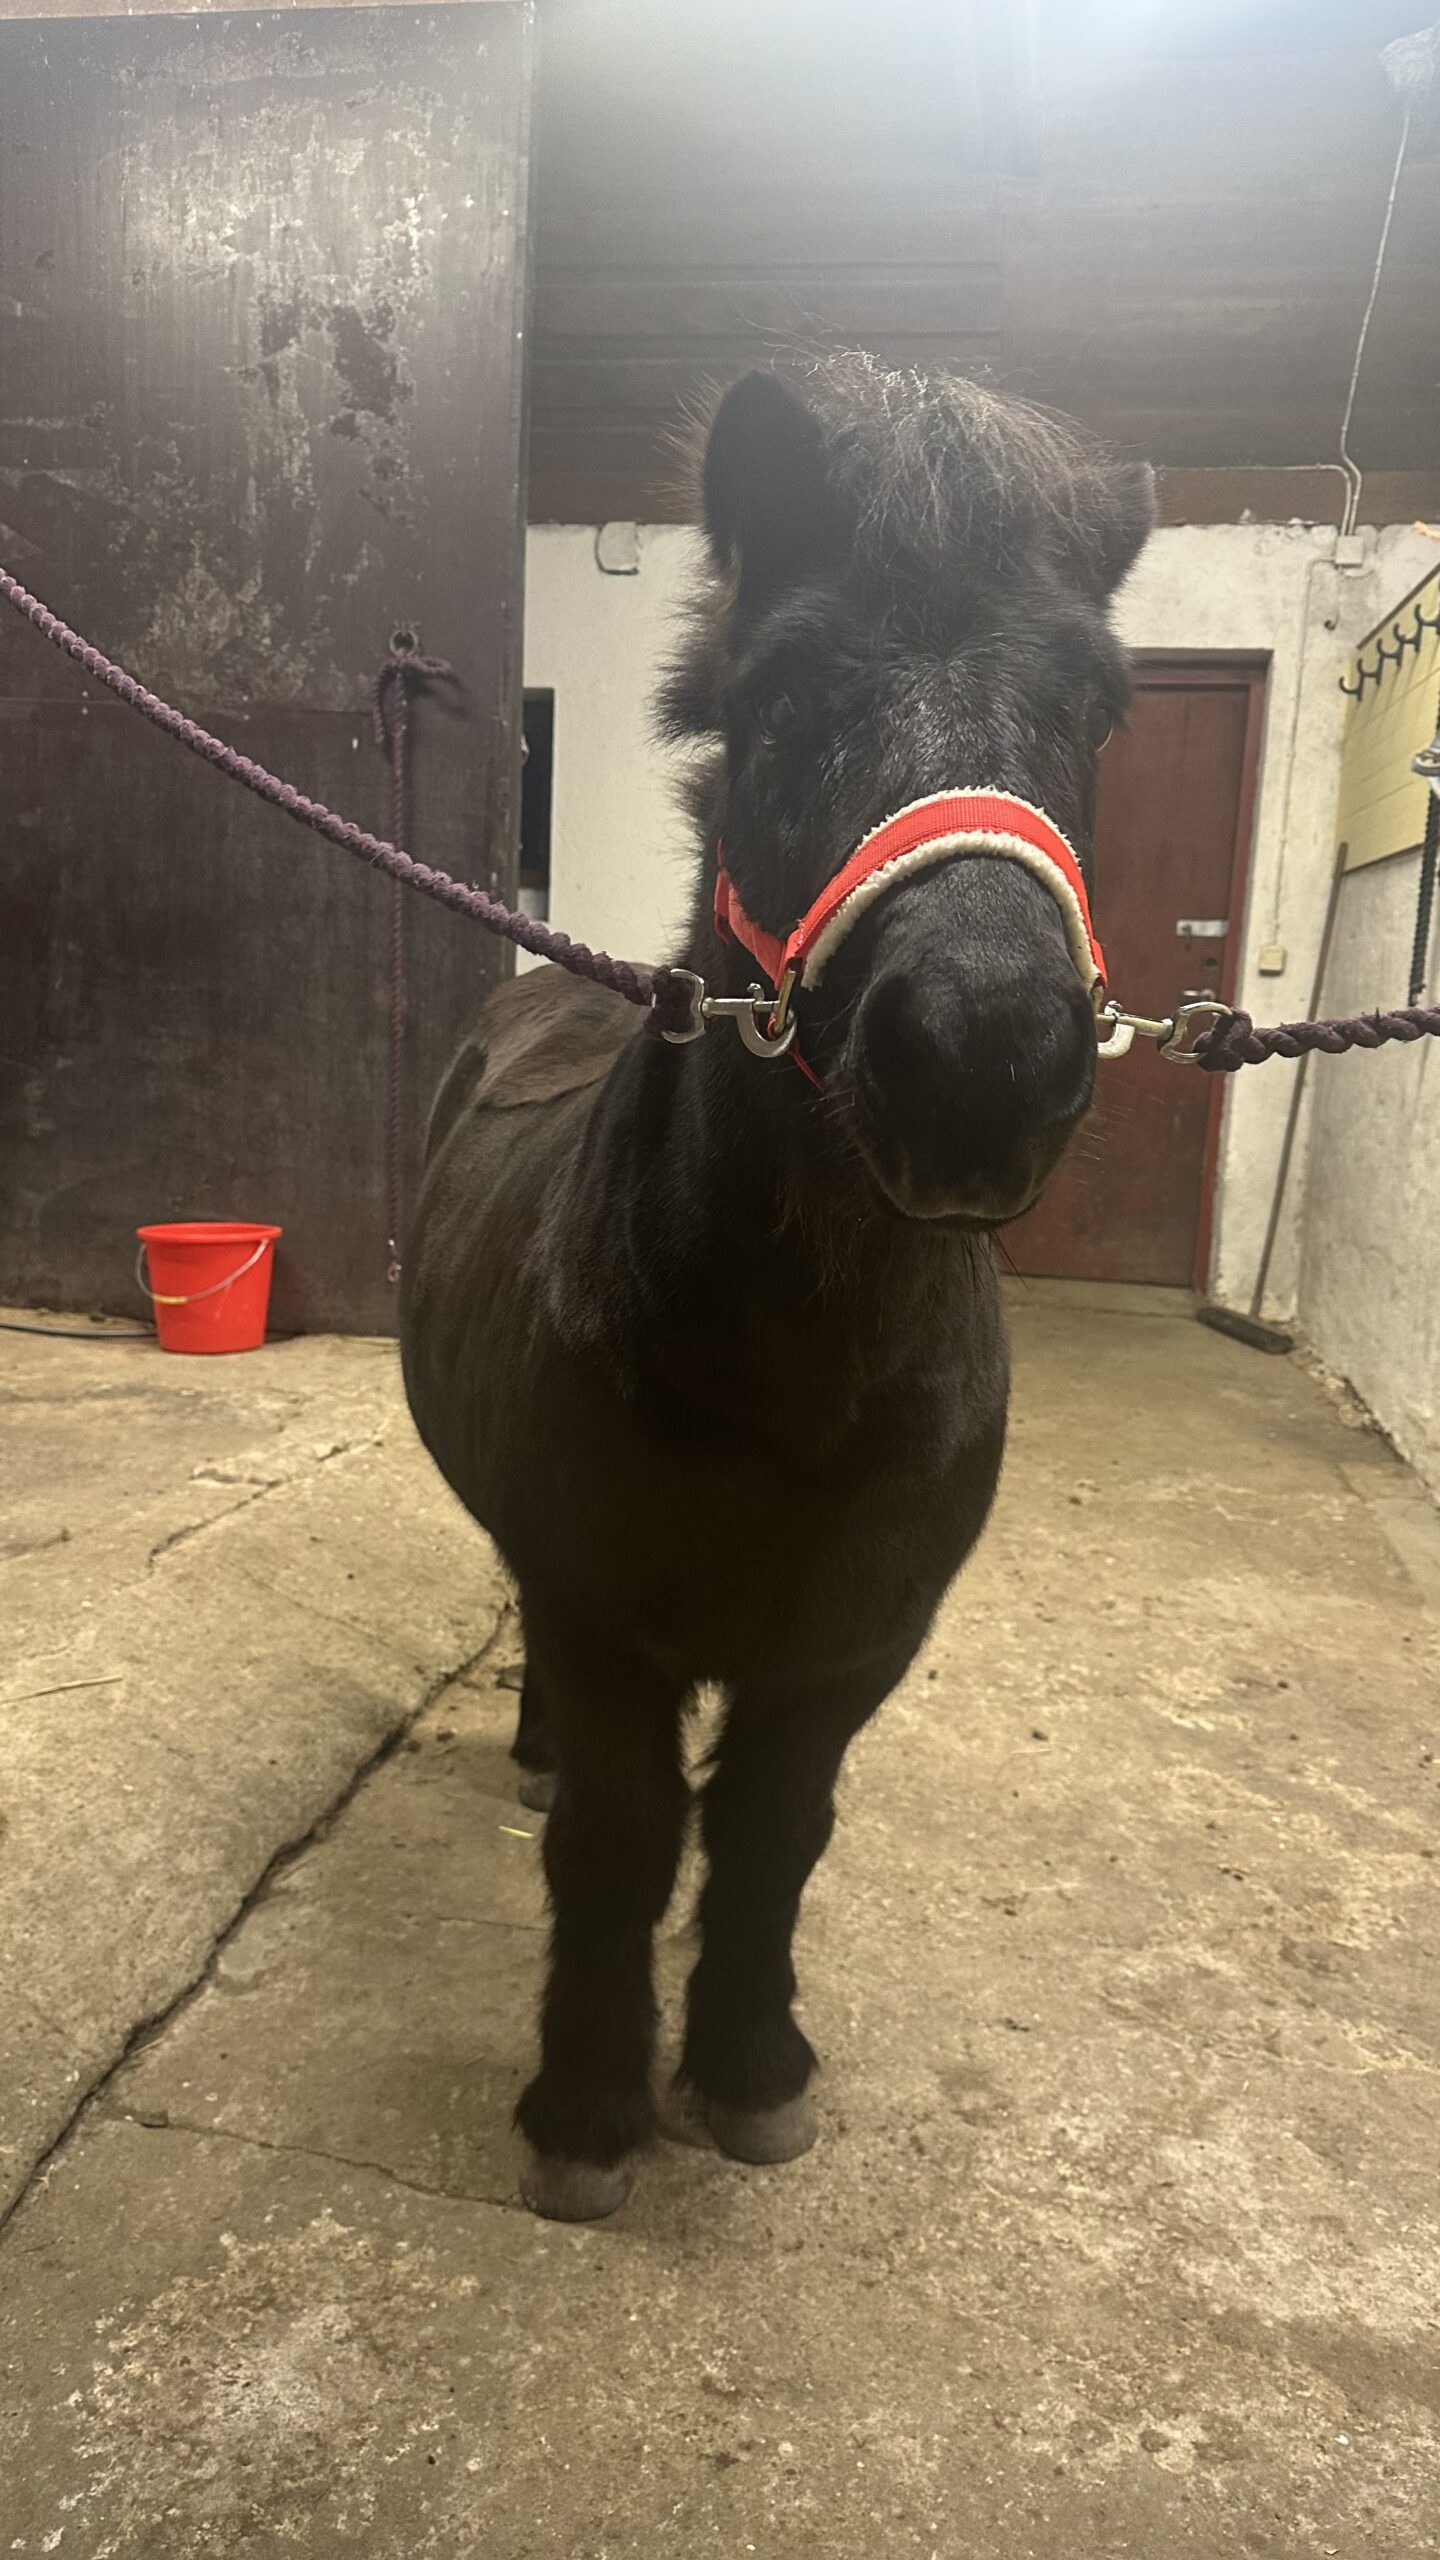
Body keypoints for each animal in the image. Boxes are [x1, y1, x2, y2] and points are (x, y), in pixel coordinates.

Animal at [400, 353, 1153, 2221]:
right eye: (782, 695)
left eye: (1100, 709)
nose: (981, 1057)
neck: (793, 1372)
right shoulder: (606, 1615)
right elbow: (621, 1842)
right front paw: (589, 2113)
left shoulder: (854, 1643)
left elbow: (769, 1834)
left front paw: (747, 2072)